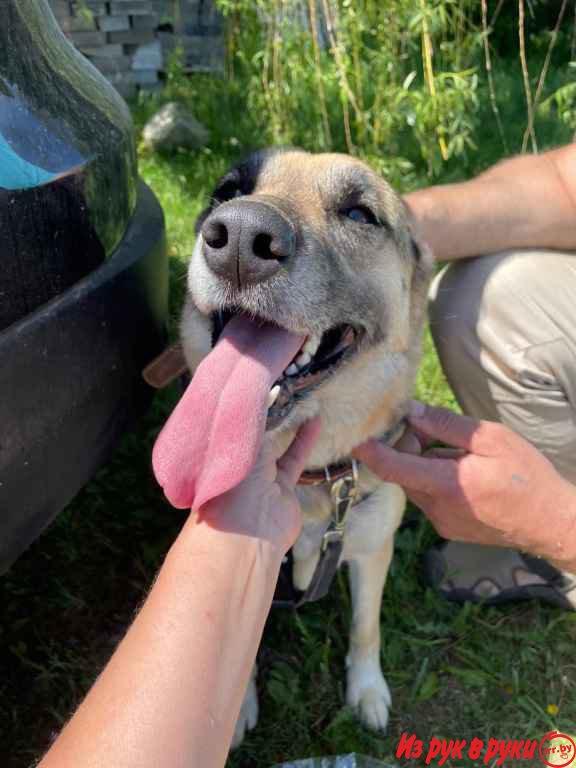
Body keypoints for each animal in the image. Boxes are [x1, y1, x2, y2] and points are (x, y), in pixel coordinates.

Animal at [153, 148, 432, 744]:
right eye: (228, 191)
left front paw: (366, 690)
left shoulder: (372, 550)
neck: (313, 480)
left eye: (359, 213)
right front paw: (236, 706)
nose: (238, 236)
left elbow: (366, 627)